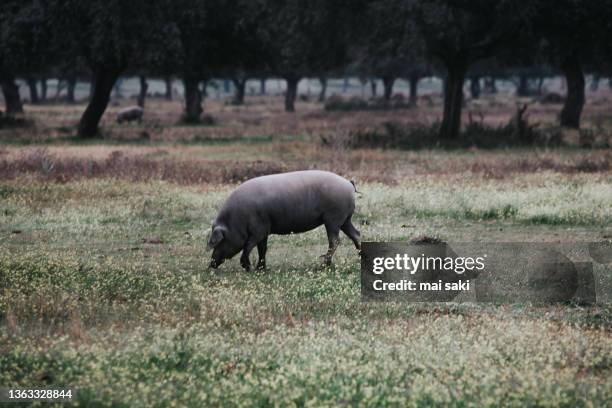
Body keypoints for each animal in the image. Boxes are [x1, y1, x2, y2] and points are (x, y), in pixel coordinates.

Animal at [207, 170, 358, 270]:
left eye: (218, 242)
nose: (210, 265)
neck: (236, 220)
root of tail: (348, 183)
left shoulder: (259, 230)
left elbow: (248, 248)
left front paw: (250, 269)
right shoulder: (264, 231)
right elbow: (263, 249)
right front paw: (261, 269)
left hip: (333, 219)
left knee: (335, 241)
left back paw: (322, 265)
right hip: (345, 219)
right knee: (356, 234)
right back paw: (360, 256)